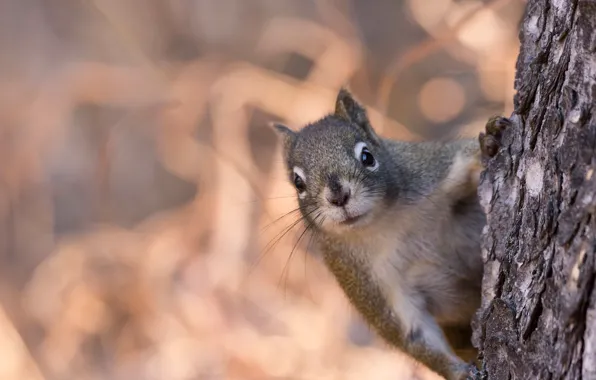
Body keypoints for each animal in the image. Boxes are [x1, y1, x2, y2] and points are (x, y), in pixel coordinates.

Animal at [272, 89, 510, 380]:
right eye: (298, 183)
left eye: (368, 157)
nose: (338, 197)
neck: (387, 222)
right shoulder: (367, 283)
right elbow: (414, 334)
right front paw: (460, 373)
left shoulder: (433, 171)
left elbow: (467, 162)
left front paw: (489, 141)